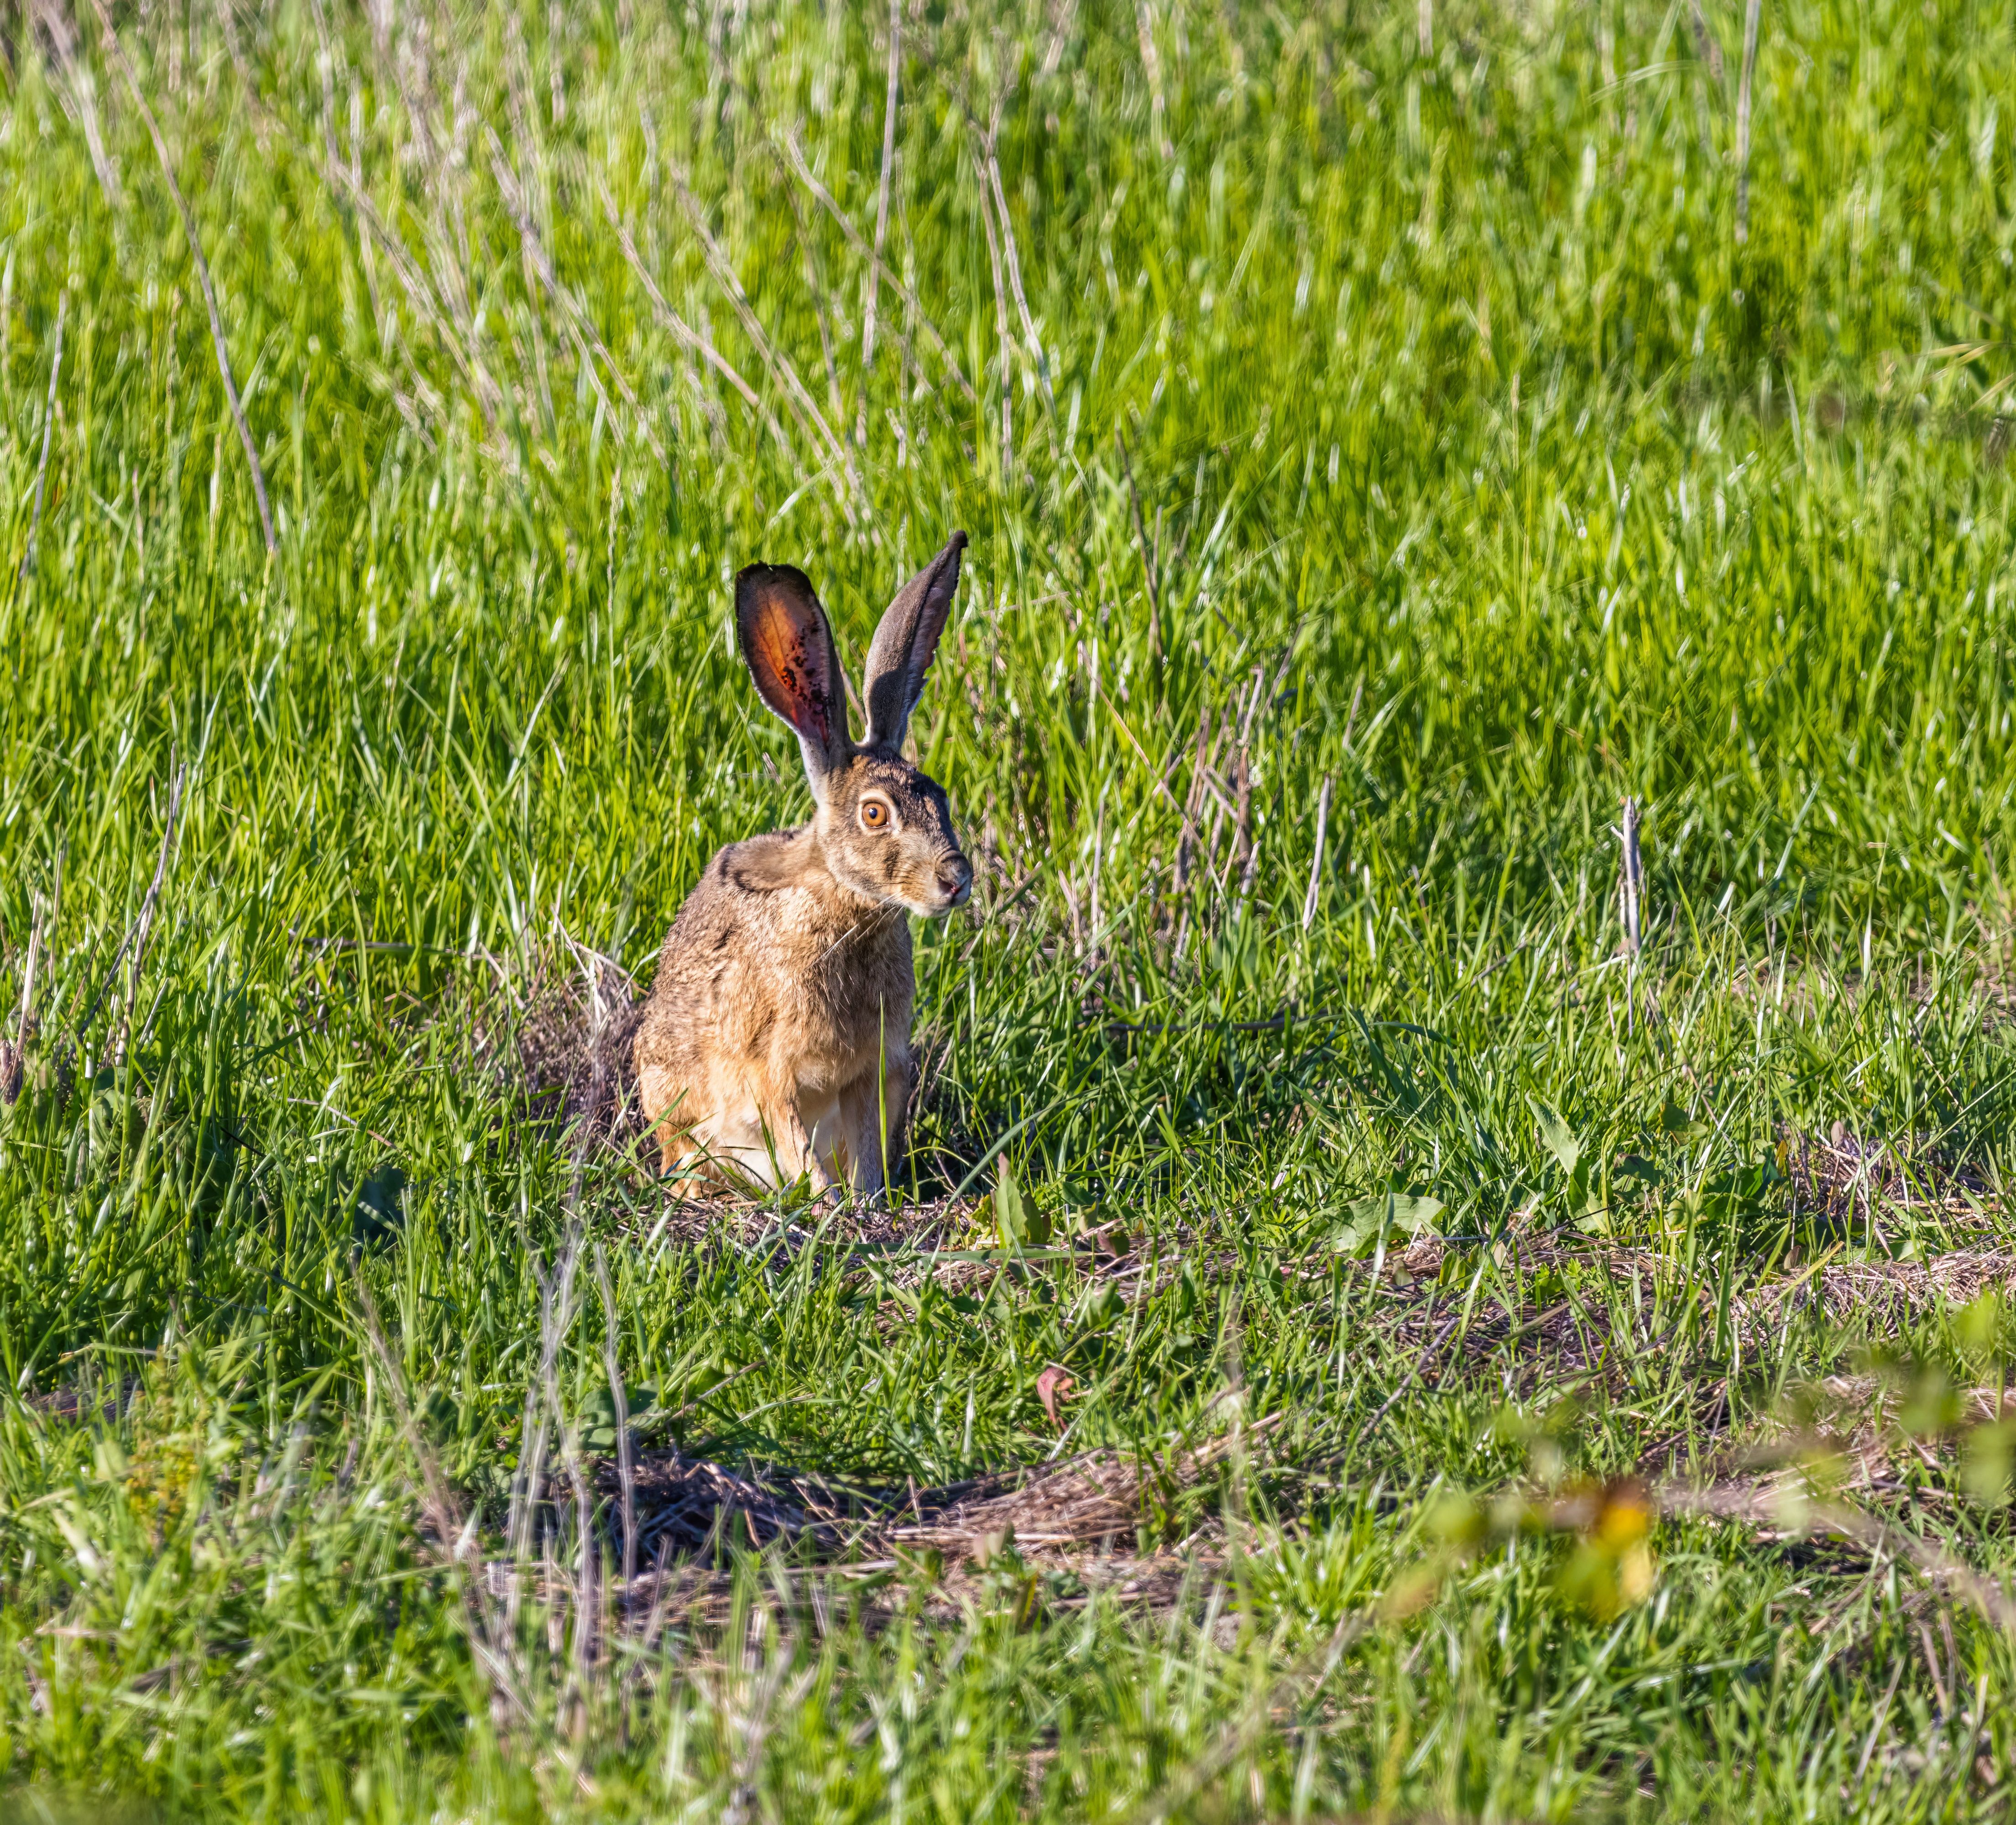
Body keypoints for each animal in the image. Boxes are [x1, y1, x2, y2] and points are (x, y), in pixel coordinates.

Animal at [631, 532, 973, 1195]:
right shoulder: (770, 1073)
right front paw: (826, 1204)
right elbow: (793, 1140)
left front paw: (866, 1204)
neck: (846, 904)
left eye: (939, 797)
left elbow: (864, 1146)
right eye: (874, 814)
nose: (955, 880)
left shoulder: (873, 1071)